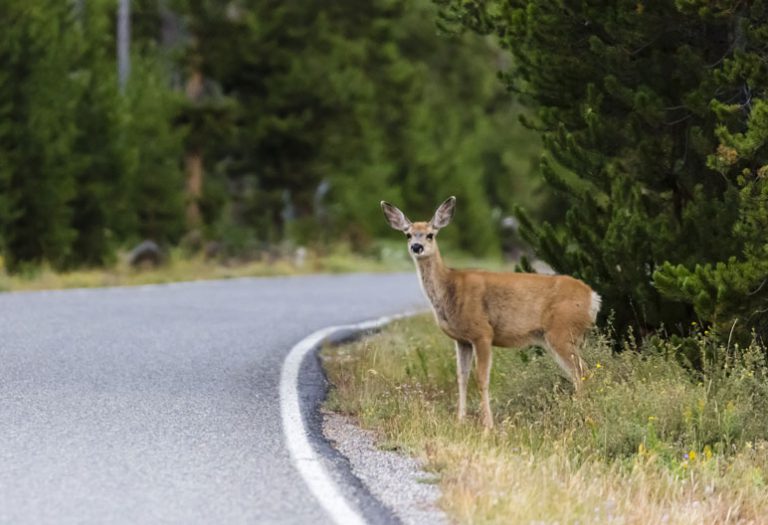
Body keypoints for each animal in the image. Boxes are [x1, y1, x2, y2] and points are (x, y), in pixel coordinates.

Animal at [380, 194, 604, 428]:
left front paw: (487, 424)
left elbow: (481, 378)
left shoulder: (483, 332)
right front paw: (460, 421)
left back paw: (579, 414)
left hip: (562, 331)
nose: (416, 246)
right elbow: (462, 377)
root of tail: (593, 297)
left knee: (582, 371)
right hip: (560, 337)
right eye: (407, 234)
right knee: (580, 372)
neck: (450, 289)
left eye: (430, 234)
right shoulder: (462, 340)